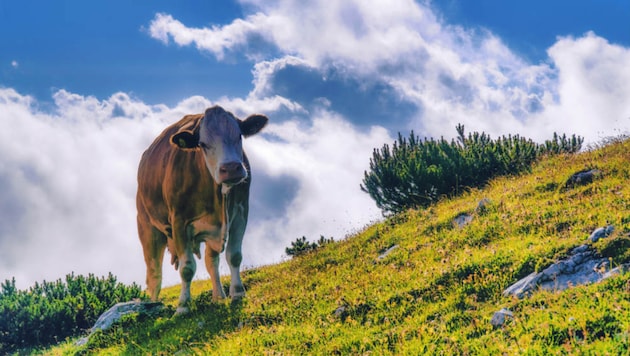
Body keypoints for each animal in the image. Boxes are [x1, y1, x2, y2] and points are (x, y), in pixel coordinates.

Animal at [137, 105, 268, 314]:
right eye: (203, 144)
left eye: (239, 136)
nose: (231, 168)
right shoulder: (179, 221)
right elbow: (187, 268)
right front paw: (183, 306)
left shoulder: (241, 213)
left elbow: (234, 256)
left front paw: (238, 293)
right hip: (147, 227)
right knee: (154, 274)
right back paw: (152, 305)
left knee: (211, 261)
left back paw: (218, 296)